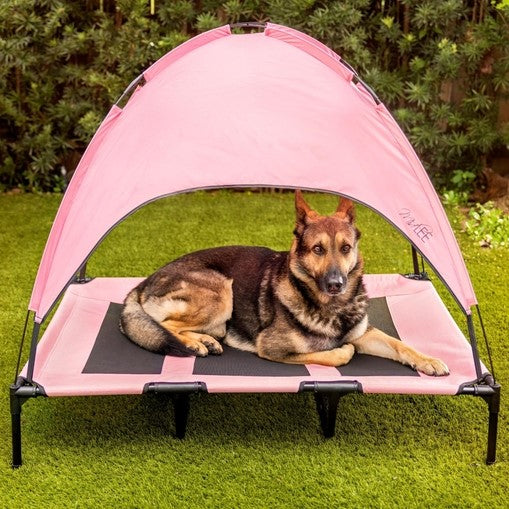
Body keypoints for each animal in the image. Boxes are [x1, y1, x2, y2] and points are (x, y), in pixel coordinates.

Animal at [119, 190, 448, 374]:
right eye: (317, 249)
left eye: (345, 248)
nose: (336, 284)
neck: (331, 308)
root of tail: (142, 283)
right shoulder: (273, 348)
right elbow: (338, 353)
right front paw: (341, 351)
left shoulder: (366, 333)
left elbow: (399, 344)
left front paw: (428, 360)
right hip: (220, 290)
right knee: (166, 325)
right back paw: (194, 343)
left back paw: (206, 341)